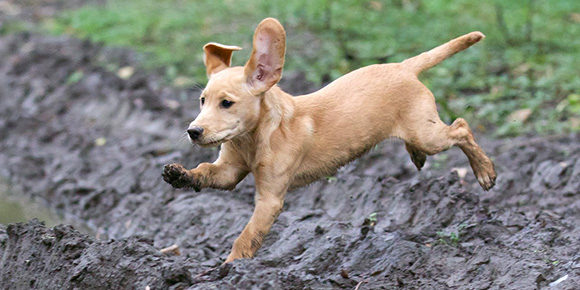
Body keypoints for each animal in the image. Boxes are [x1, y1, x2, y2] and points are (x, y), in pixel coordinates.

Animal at [161, 18, 496, 262]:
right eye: (202, 100)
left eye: (226, 103)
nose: (193, 131)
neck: (254, 137)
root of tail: (403, 66)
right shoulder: (229, 170)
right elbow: (207, 171)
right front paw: (179, 174)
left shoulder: (270, 199)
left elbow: (248, 235)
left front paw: (231, 268)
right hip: (420, 129)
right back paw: (417, 156)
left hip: (429, 134)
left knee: (462, 128)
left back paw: (485, 171)